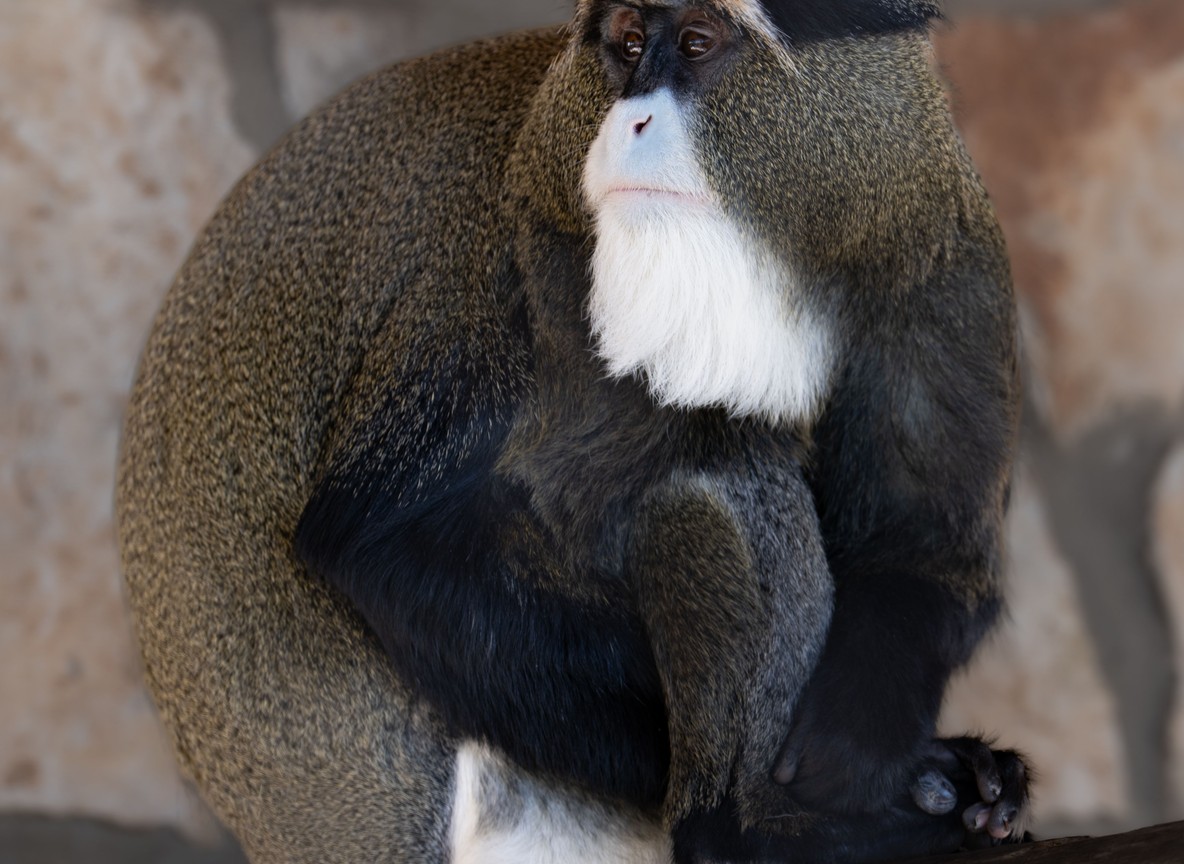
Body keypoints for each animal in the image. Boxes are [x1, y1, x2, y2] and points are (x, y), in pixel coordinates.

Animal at [117, 1, 1031, 862]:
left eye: (697, 42)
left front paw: (902, 764)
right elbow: (382, 549)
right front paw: (905, 783)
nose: (631, 120)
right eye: (626, 42)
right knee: (724, 470)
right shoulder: (505, 255)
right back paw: (745, 831)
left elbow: (927, 551)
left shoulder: (939, 254)